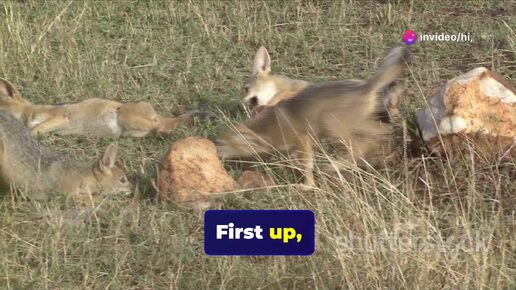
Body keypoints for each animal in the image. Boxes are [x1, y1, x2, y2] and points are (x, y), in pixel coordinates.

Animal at [0, 78, 199, 139]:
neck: (28, 113)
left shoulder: (60, 117)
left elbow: (34, 129)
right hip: (131, 132)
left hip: (125, 116)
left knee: (161, 125)